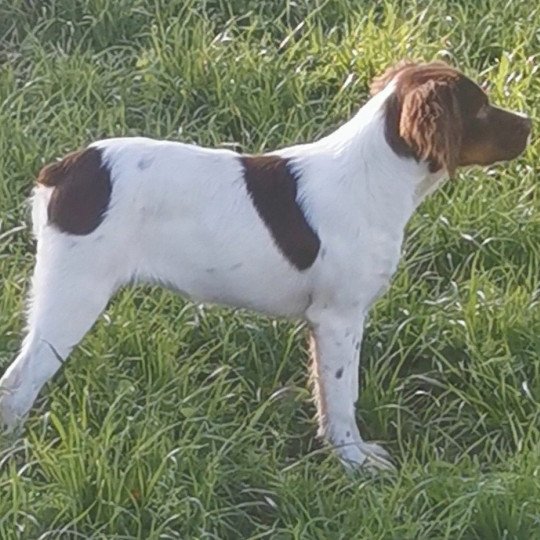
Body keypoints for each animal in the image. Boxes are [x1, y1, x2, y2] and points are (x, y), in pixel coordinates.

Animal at [0, 60, 532, 468]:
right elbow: (343, 396)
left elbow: (325, 395)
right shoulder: (339, 318)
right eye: (481, 107)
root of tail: (63, 171)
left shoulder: (323, 323)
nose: (530, 123)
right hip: (73, 296)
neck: (375, 175)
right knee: (19, 384)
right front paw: (353, 462)